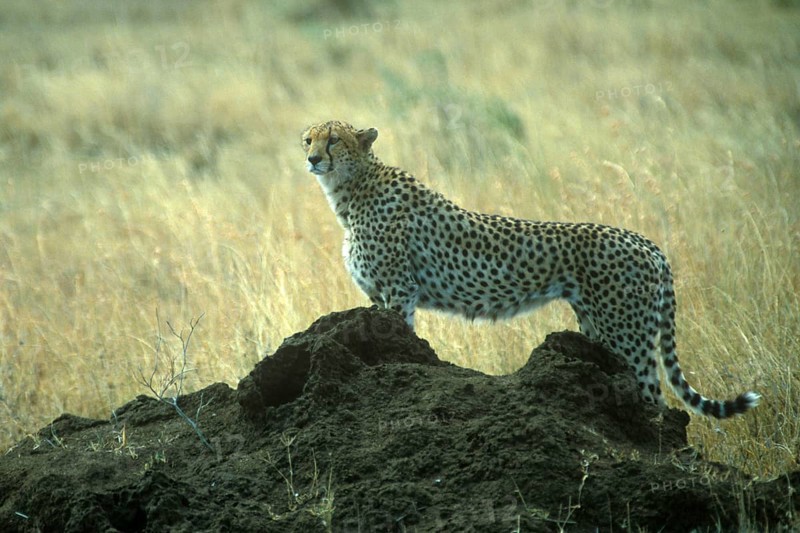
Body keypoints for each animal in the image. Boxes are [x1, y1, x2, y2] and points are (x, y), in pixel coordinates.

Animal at [301, 119, 760, 419]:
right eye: (308, 139)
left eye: (334, 140)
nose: (312, 159)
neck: (353, 189)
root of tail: (645, 241)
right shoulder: (379, 297)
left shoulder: (399, 293)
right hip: (599, 328)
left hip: (626, 334)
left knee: (657, 400)